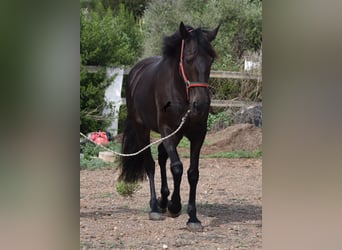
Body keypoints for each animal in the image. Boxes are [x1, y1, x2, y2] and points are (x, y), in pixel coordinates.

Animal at [118, 22, 219, 231]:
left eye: (211, 60)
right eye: (188, 59)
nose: (201, 105)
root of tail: (135, 72)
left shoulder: (198, 134)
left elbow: (193, 173)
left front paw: (193, 217)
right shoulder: (167, 130)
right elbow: (177, 168)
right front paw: (175, 206)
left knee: (162, 155)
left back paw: (163, 201)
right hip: (142, 129)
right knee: (150, 164)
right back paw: (156, 207)